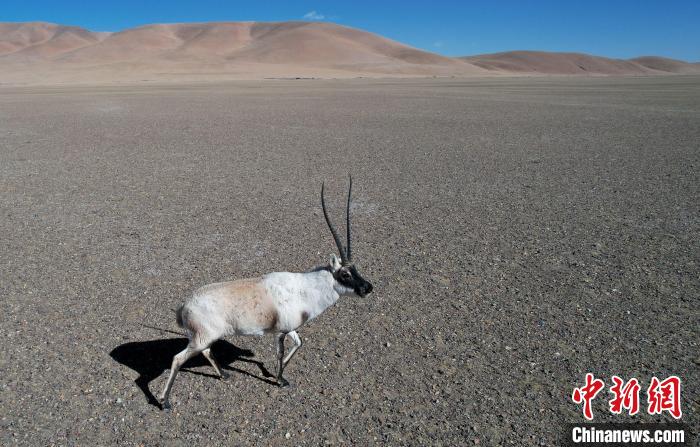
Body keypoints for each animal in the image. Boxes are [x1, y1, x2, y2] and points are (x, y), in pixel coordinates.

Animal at [158, 177, 374, 409]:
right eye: (345, 274)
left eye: (355, 269)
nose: (368, 288)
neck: (304, 288)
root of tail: (184, 306)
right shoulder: (280, 332)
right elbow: (280, 353)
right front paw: (280, 380)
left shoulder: (290, 328)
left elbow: (299, 343)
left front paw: (275, 374)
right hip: (201, 338)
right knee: (178, 359)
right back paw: (165, 401)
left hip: (203, 337)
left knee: (206, 351)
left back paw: (224, 375)